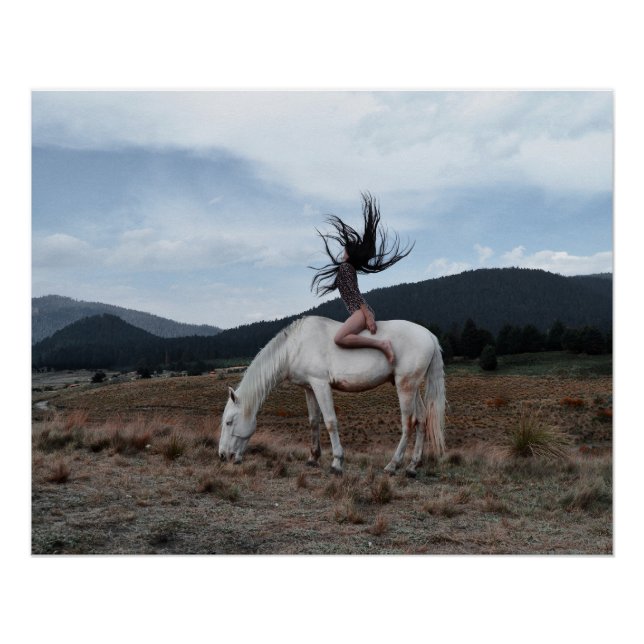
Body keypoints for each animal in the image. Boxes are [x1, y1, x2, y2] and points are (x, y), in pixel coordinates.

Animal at [218, 315, 446, 476]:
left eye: (229, 422)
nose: (222, 456)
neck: (295, 347)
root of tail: (429, 335)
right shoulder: (309, 387)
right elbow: (313, 421)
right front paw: (313, 458)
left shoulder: (321, 384)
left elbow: (330, 422)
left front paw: (337, 463)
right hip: (413, 387)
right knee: (422, 420)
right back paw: (412, 467)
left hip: (405, 386)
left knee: (408, 423)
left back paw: (393, 465)